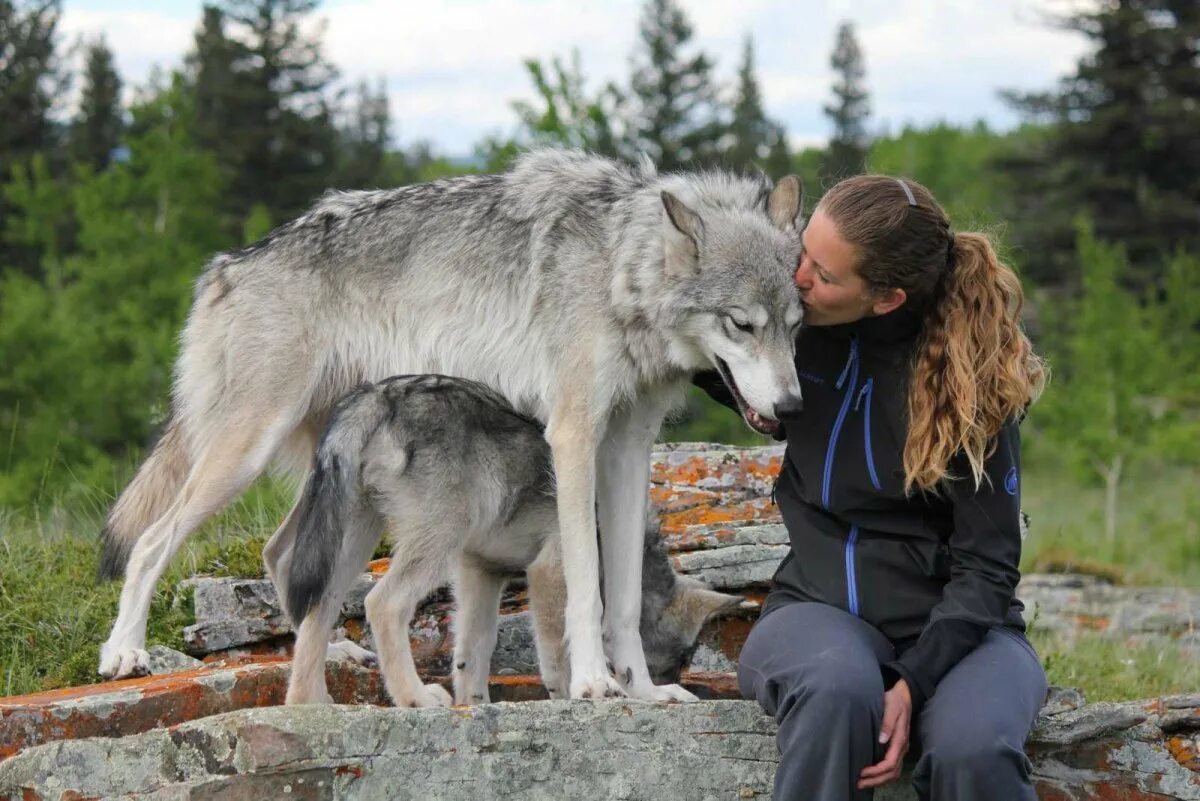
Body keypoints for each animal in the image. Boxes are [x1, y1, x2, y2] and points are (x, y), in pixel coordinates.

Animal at [285, 371, 744, 705]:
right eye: (666, 664)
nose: (648, 688)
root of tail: (374, 396)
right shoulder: (548, 569)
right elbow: (557, 654)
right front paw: (574, 697)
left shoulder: (480, 571)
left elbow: (472, 653)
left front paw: (474, 705)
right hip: (432, 543)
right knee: (382, 604)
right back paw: (416, 698)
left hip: (354, 544)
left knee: (316, 612)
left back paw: (311, 705)